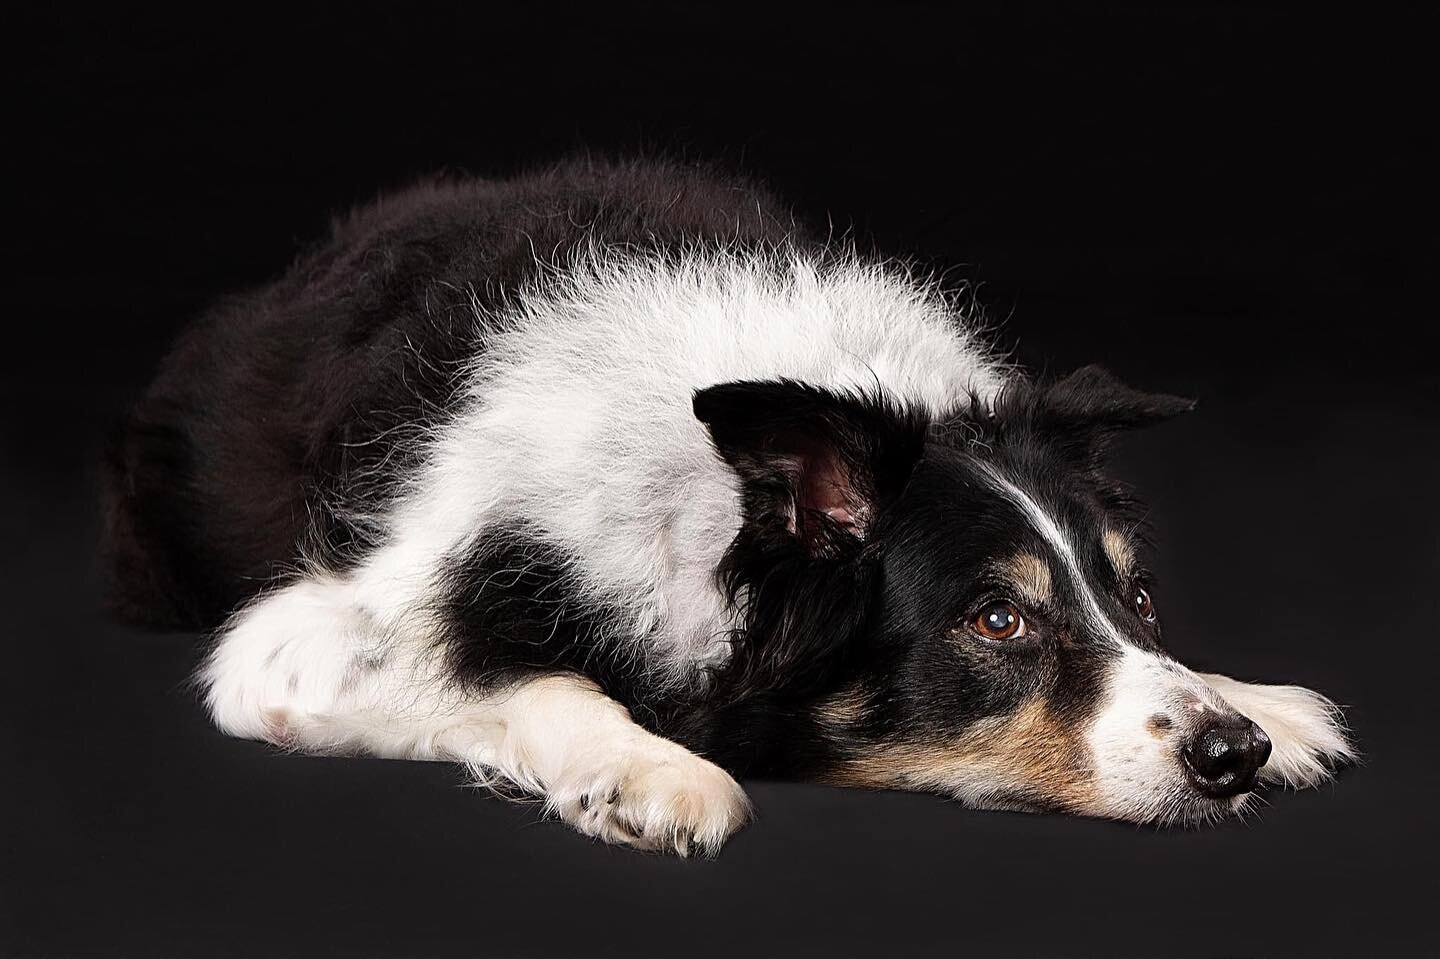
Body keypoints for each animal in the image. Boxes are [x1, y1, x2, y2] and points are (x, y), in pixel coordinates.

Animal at [104, 156, 1347, 852]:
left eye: (1138, 592)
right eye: (998, 618)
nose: (1229, 753)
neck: (706, 499)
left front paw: (1265, 703)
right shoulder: (301, 639)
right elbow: (528, 675)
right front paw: (654, 769)